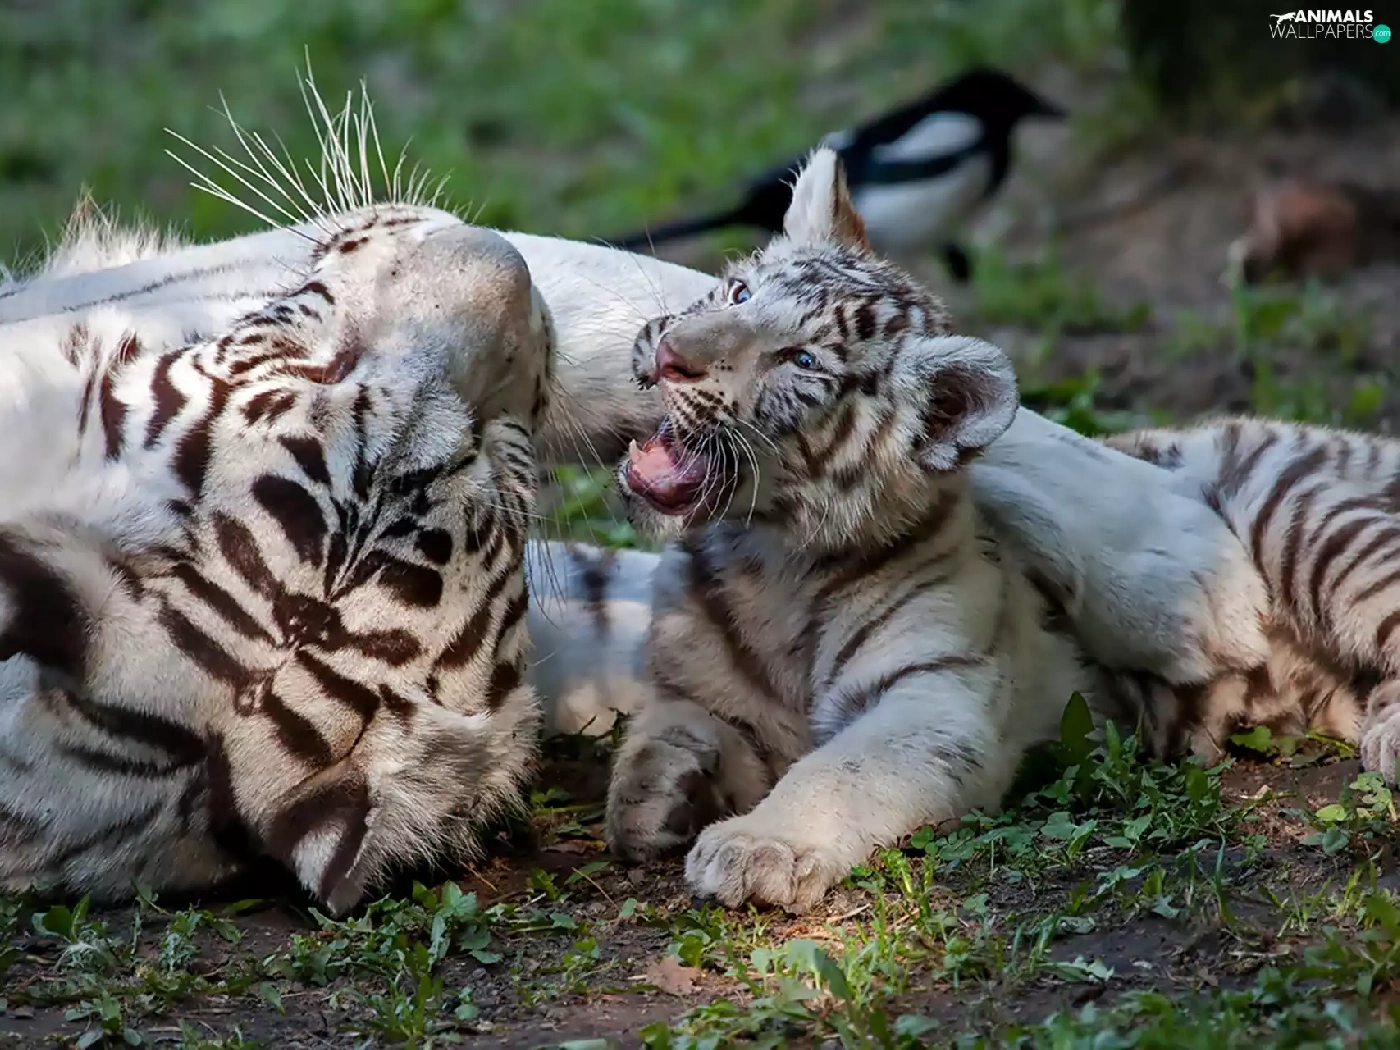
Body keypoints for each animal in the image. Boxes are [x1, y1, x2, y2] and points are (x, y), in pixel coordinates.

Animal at [591, 146, 1400, 914]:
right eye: (740, 293)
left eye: (802, 359)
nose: (670, 355)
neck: (768, 560)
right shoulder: (700, 689)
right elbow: (672, 725)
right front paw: (654, 797)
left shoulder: (931, 695)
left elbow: (837, 771)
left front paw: (756, 846)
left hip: (1298, 515)